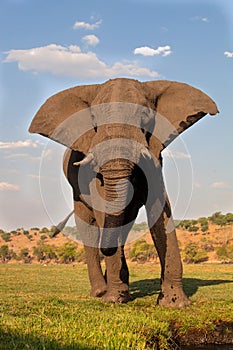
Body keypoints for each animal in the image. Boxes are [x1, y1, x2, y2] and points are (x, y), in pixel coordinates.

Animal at [29, 77, 218, 306]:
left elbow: (160, 209)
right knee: (89, 227)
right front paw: (114, 299)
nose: (107, 249)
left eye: (145, 116)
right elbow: (103, 211)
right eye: (94, 120)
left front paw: (174, 303)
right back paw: (100, 291)